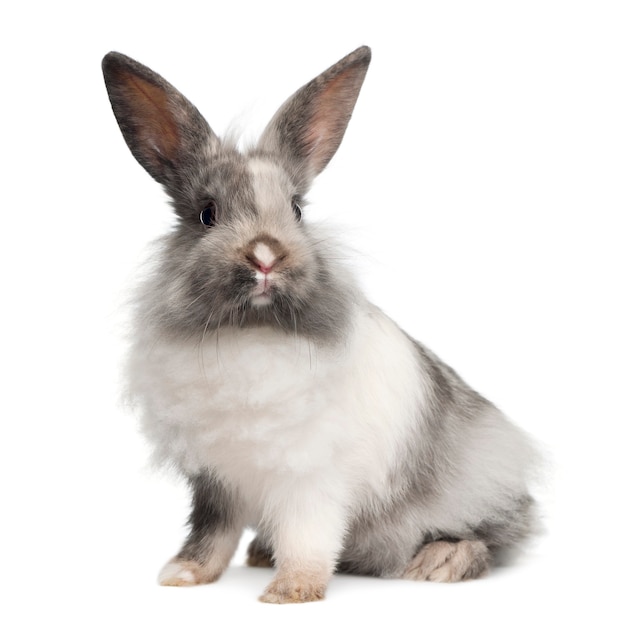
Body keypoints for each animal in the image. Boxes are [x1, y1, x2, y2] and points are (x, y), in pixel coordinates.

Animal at [101, 47, 536, 604]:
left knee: (489, 537)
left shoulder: (311, 477)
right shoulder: (216, 478)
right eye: (206, 214)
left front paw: (291, 590)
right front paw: (184, 574)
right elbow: (212, 530)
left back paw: (438, 562)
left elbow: (309, 535)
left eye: (297, 210)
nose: (265, 255)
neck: (252, 333)